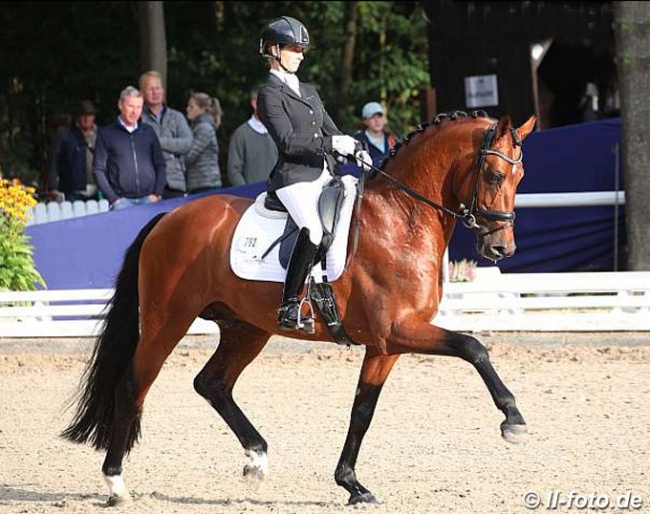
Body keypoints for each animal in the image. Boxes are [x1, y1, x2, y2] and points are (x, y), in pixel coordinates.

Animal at [62, 109, 536, 504]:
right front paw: (513, 418)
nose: (501, 248)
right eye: (494, 175)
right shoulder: (397, 330)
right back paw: (115, 483)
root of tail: (169, 217)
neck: (401, 217)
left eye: (520, 176)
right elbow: (474, 347)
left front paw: (351, 484)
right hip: (167, 321)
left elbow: (362, 410)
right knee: (133, 386)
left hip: (246, 329)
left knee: (212, 383)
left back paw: (257, 459)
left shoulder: (386, 345)